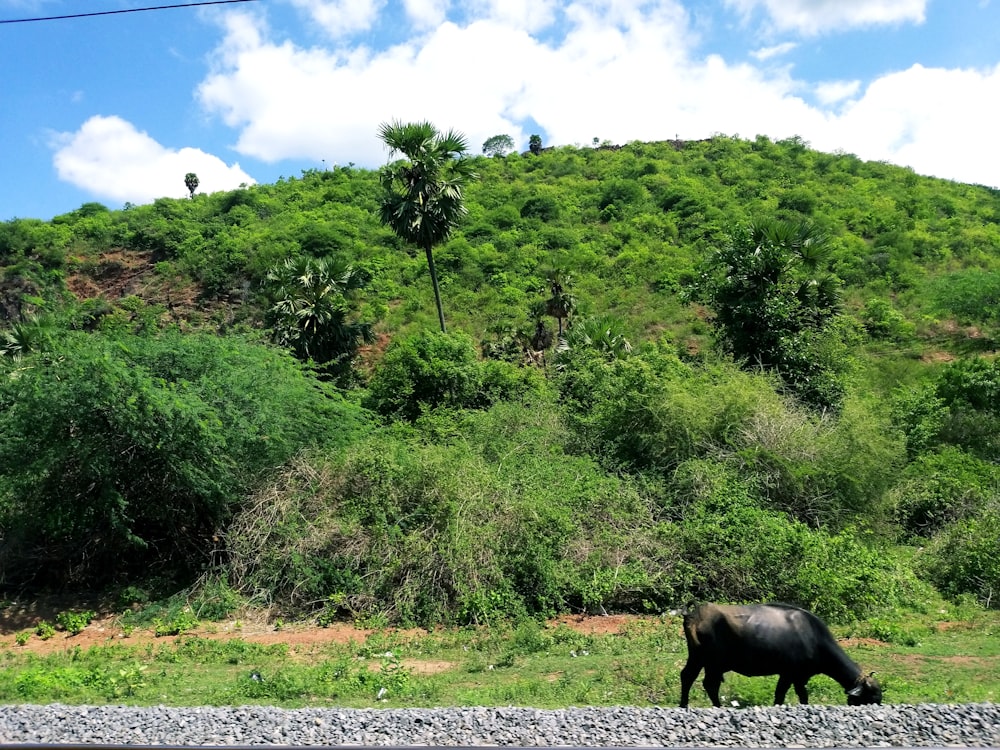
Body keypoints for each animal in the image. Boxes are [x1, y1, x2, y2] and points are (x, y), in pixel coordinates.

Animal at [680, 604, 884, 712]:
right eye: (870, 698)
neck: (812, 636)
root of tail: (695, 614)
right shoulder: (789, 674)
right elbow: (782, 694)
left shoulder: (799, 676)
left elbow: (802, 695)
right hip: (712, 662)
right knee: (709, 684)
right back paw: (716, 706)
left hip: (698, 658)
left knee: (688, 677)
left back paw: (684, 705)